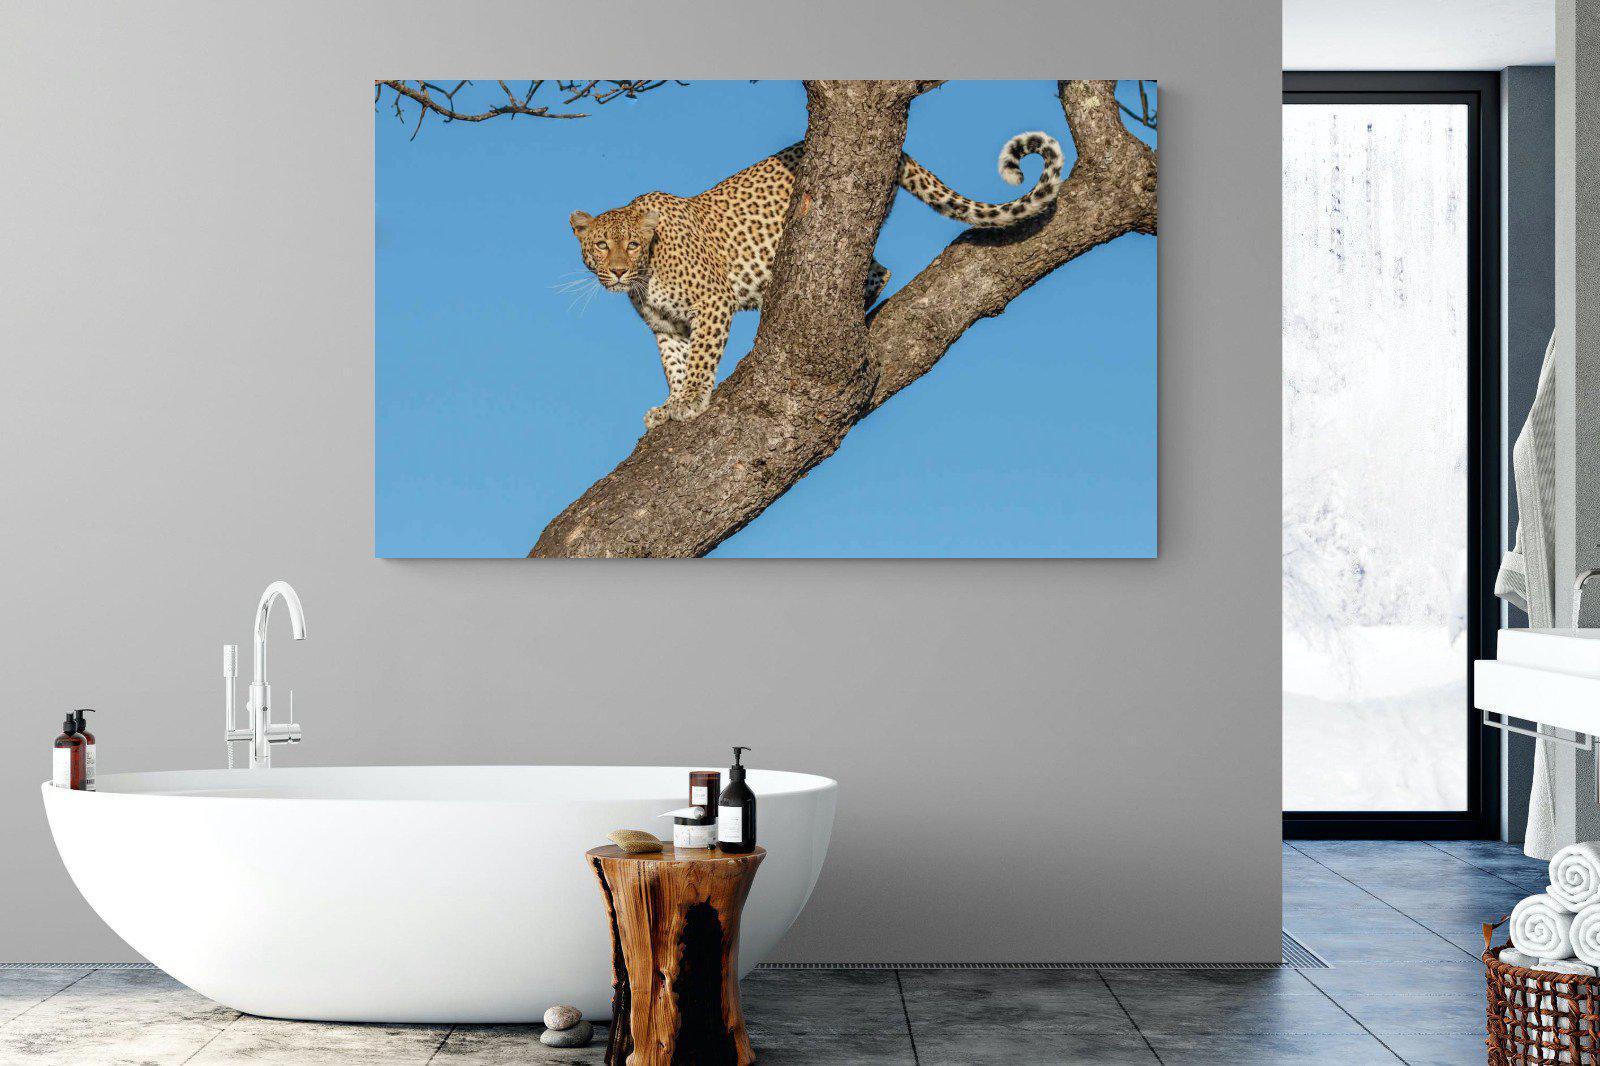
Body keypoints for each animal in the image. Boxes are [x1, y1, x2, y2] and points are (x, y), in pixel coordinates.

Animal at [569, 130, 1065, 430]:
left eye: (633, 244)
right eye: (601, 246)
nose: (617, 270)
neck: (645, 275)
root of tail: (898, 153)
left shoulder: (712, 303)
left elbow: (700, 361)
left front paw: (691, 400)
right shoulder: (667, 326)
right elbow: (674, 363)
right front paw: (670, 405)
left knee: (875, 271)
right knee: (879, 270)